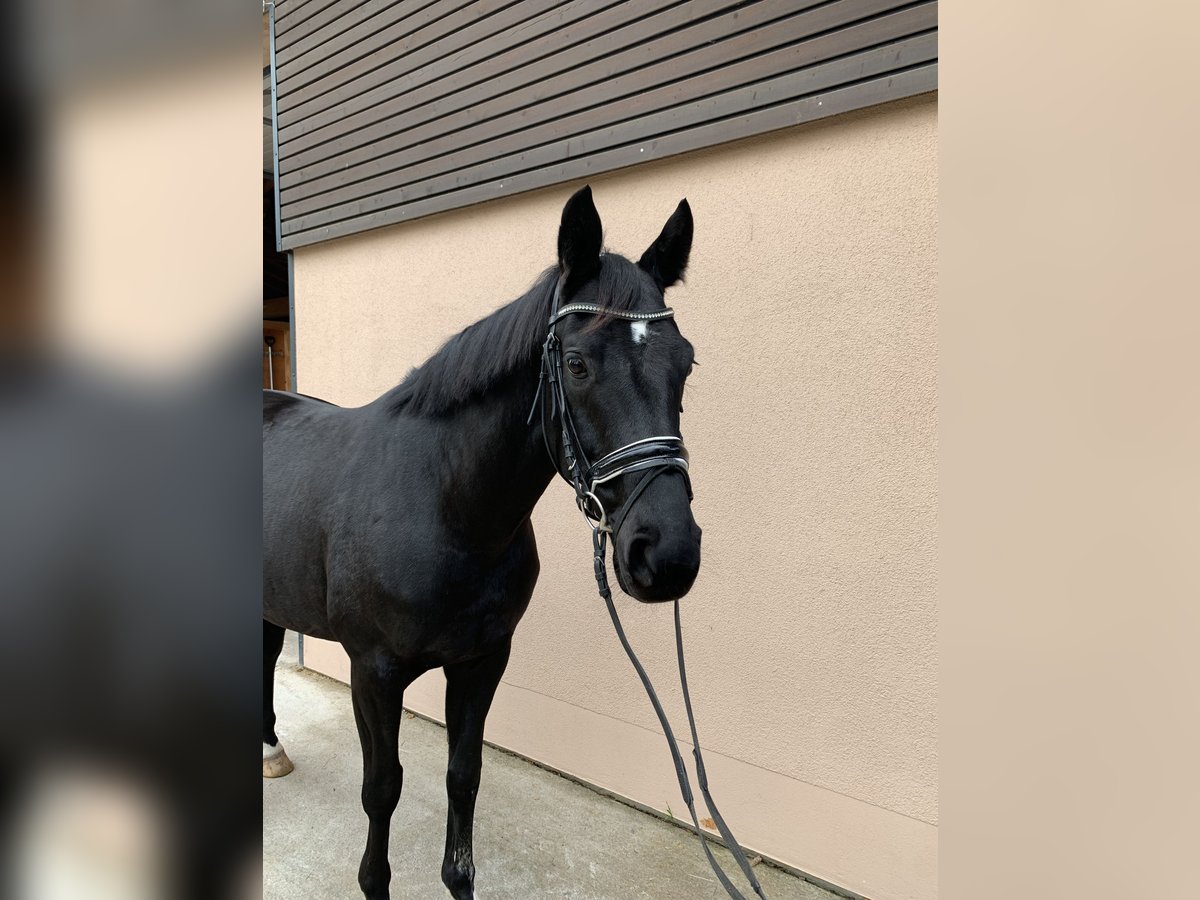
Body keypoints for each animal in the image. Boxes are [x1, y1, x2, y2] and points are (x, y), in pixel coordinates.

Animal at [258, 187, 700, 897]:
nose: (667, 555)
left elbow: (463, 778)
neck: (446, 510)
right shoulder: (373, 672)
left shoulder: (483, 661)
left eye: (684, 362)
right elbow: (382, 789)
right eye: (576, 364)